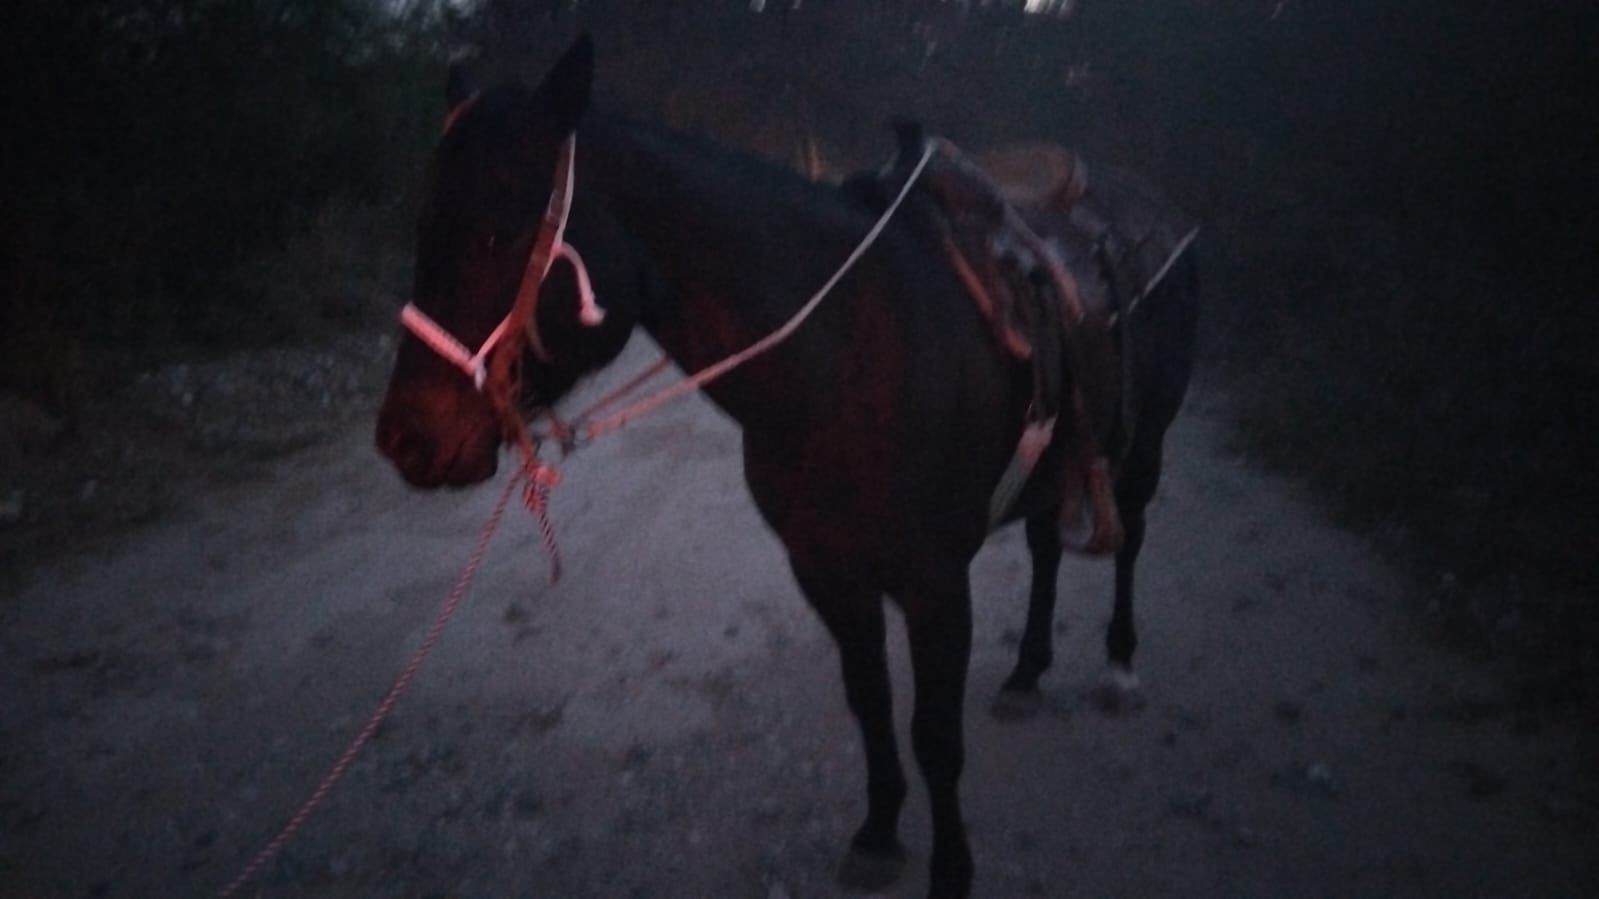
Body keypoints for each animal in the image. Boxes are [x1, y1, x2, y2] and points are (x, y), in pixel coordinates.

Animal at [376, 36, 1198, 899]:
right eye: (423, 227)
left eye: (497, 235)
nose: (407, 437)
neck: (850, 351)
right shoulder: (824, 566)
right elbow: (869, 699)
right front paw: (877, 831)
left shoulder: (935, 582)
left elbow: (935, 734)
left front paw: (950, 868)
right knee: (1044, 547)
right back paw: (1026, 674)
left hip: (1145, 445)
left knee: (1130, 539)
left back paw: (1118, 668)